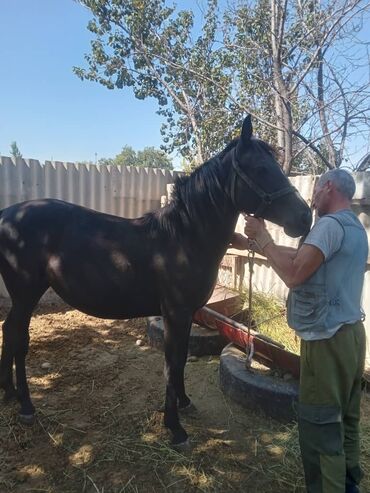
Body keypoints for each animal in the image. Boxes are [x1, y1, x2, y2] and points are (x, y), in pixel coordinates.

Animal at [0, 116, 310, 446]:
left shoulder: (188, 315)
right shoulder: (175, 313)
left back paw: (9, 392)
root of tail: (7, 214)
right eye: (261, 169)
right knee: (19, 338)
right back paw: (26, 405)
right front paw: (175, 428)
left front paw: (184, 404)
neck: (184, 237)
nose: (304, 218)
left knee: (9, 332)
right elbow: (172, 363)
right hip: (26, 294)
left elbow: (181, 359)